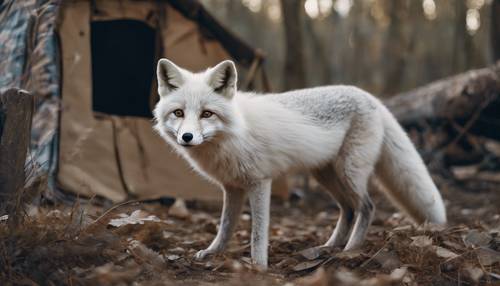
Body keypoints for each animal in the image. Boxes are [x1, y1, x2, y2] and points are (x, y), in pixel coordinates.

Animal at [152, 58, 446, 268]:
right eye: (178, 113)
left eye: (206, 114)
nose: (187, 137)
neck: (235, 132)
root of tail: (369, 96)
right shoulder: (232, 187)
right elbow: (225, 227)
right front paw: (213, 253)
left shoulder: (260, 182)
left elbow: (258, 233)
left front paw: (259, 266)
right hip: (325, 175)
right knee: (348, 209)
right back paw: (329, 247)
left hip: (348, 172)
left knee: (367, 207)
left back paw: (350, 250)